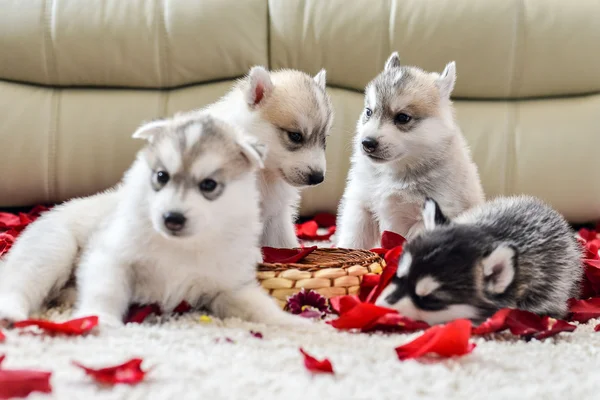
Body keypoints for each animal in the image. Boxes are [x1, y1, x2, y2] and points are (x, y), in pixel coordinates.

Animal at [0, 114, 304, 326]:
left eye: (208, 185)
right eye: (161, 176)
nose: (172, 218)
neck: (181, 246)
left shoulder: (229, 286)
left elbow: (260, 306)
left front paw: (293, 324)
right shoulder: (111, 257)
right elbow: (106, 291)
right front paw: (99, 318)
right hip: (51, 250)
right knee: (19, 282)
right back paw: (11, 313)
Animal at [336, 51, 486, 248]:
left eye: (402, 117)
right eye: (369, 112)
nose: (367, 143)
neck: (394, 172)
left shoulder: (430, 215)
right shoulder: (361, 206)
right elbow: (352, 238)